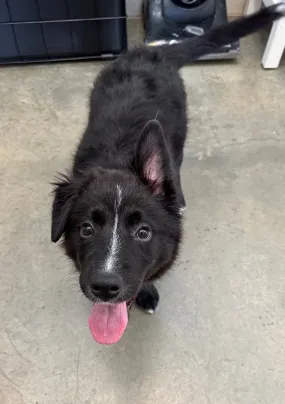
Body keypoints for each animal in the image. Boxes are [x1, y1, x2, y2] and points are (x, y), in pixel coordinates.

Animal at [51, 4, 284, 346]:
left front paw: (146, 293)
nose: (104, 287)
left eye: (143, 233)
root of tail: (153, 52)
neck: (120, 159)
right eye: (86, 229)